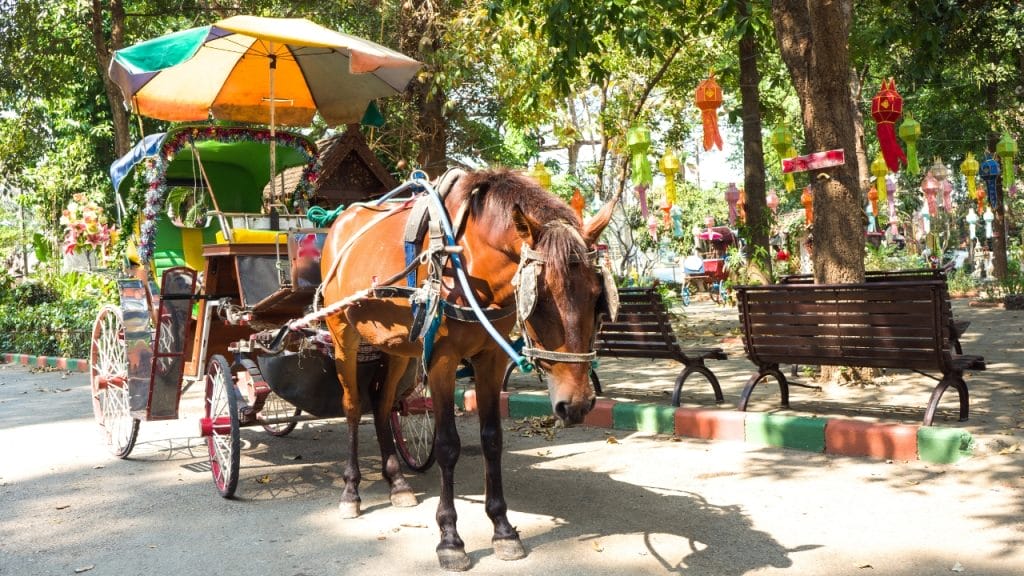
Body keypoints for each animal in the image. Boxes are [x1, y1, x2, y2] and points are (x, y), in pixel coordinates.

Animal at [320, 168, 617, 571]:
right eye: (539, 299)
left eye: (597, 297)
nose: (577, 405)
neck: (469, 261)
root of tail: (338, 221)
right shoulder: (441, 361)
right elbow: (447, 445)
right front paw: (450, 539)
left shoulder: (491, 358)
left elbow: (492, 439)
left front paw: (503, 530)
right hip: (342, 334)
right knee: (352, 407)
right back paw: (351, 491)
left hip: (398, 347)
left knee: (381, 405)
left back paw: (397, 482)